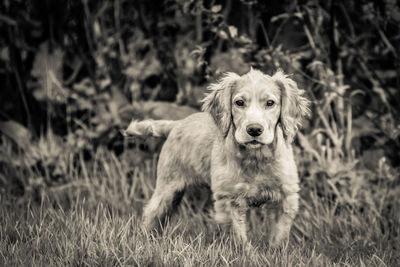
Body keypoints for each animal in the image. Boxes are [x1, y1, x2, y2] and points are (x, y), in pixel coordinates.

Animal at [123, 68, 310, 248]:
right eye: (239, 102)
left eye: (270, 103)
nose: (254, 130)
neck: (255, 157)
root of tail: (179, 123)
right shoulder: (229, 200)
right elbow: (238, 237)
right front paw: (247, 254)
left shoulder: (286, 196)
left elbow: (279, 234)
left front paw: (275, 252)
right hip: (168, 185)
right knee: (153, 212)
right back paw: (145, 241)